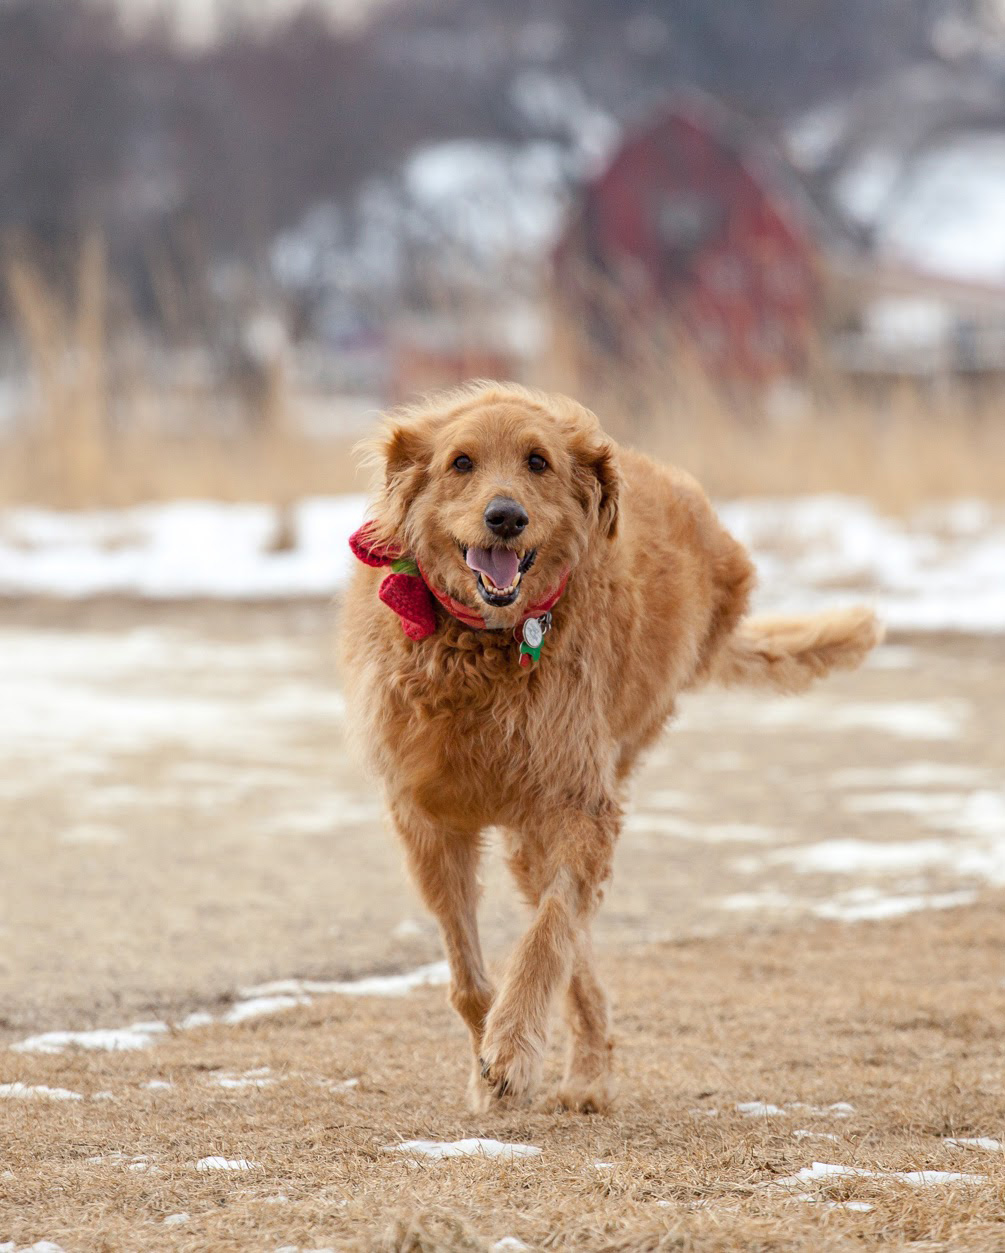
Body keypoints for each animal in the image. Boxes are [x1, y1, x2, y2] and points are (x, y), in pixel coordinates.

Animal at [335, 375, 877, 1112]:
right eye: (460, 462)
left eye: (537, 462)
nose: (504, 517)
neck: (485, 646)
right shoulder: (426, 821)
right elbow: (469, 977)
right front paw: (487, 1064)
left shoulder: (576, 805)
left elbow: (546, 938)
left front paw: (510, 1051)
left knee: (566, 932)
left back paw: (587, 1073)